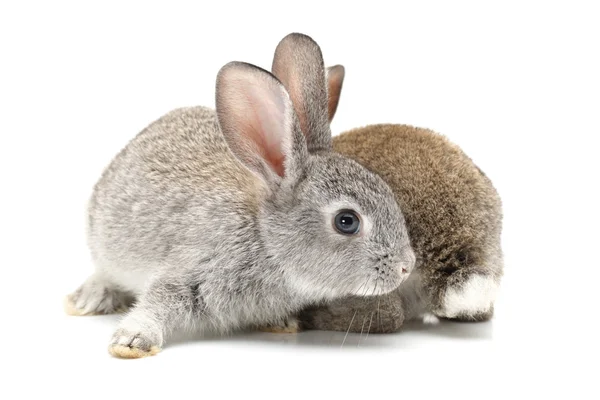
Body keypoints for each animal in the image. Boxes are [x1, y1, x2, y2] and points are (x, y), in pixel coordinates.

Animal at [64, 35, 412, 360]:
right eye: (346, 221)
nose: (406, 267)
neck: (267, 241)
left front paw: (282, 324)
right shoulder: (190, 270)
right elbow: (157, 303)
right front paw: (132, 342)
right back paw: (88, 299)